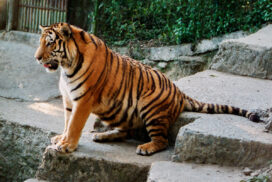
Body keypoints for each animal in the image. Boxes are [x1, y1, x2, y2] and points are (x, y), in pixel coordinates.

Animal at [34, 22, 262, 156]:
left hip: (149, 107)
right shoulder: (68, 100)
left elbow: (74, 125)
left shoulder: (83, 101)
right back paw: (103, 136)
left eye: (50, 43)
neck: (66, 66)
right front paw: (61, 138)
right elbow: (66, 122)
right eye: (40, 42)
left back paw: (145, 148)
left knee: (162, 141)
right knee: (127, 131)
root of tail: (179, 92)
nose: (36, 58)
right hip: (119, 111)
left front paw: (67, 145)